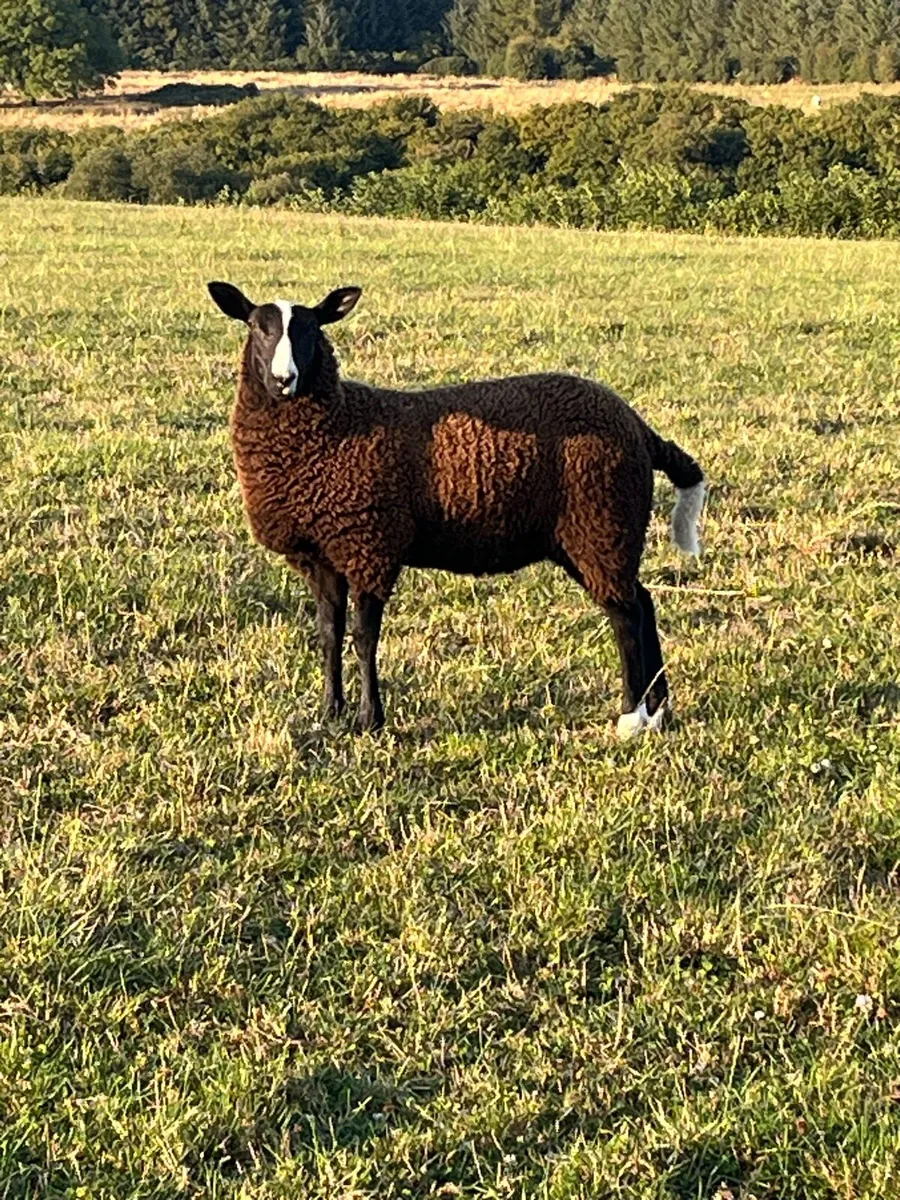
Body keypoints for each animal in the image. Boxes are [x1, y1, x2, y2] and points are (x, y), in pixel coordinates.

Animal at [208, 281, 706, 739]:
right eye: (257, 327)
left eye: (311, 329)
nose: (284, 379)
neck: (338, 426)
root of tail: (639, 428)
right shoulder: (323, 554)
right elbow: (328, 634)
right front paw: (330, 713)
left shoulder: (370, 545)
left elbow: (364, 637)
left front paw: (371, 720)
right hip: (594, 535)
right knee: (643, 602)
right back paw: (658, 710)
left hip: (601, 522)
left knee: (627, 616)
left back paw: (631, 718)